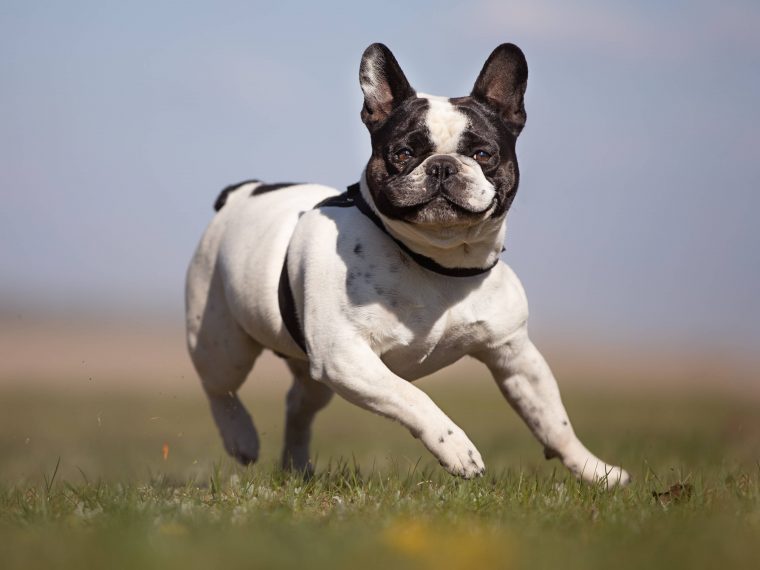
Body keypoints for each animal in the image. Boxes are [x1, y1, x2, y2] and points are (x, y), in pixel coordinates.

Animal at [186, 42, 628, 484]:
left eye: (483, 153)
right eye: (403, 153)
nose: (442, 165)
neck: (439, 261)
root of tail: (243, 192)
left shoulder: (514, 355)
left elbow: (553, 420)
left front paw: (596, 471)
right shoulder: (346, 356)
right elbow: (412, 395)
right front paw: (456, 449)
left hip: (308, 368)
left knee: (298, 402)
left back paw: (297, 467)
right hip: (222, 340)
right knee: (218, 386)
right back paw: (240, 437)